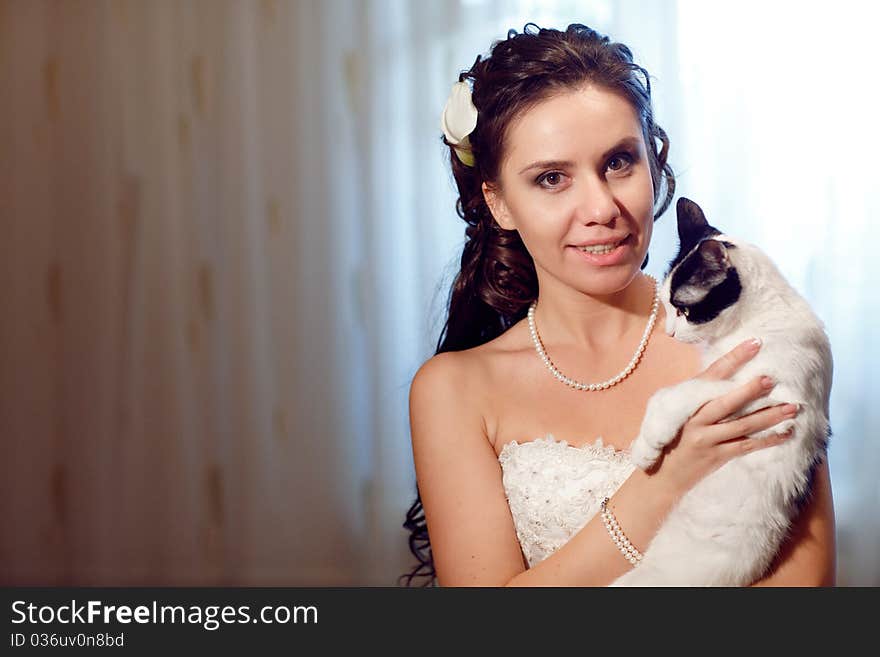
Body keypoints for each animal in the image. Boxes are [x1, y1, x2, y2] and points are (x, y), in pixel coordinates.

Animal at [612, 197, 832, 588]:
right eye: (667, 307)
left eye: (685, 310)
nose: (669, 333)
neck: (750, 323)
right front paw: (643, 447)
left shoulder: (776, 402)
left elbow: (677, 393)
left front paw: (650, 442)